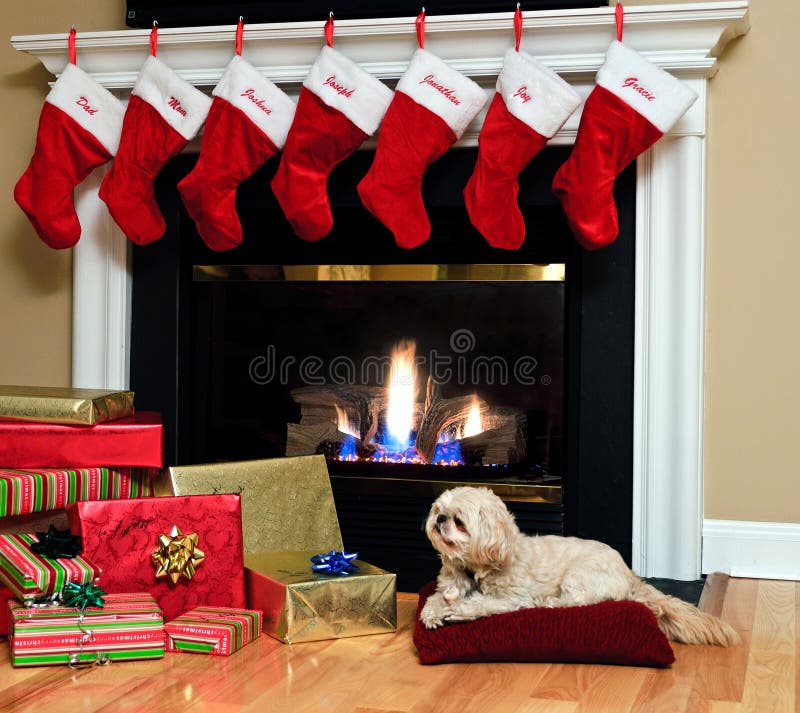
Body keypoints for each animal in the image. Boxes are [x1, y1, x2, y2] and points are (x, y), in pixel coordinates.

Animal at [422, 484, 740, 644]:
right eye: (439, 511)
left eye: (459, 521)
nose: (439, 519)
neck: (477, 567)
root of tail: (629, 574)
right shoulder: (448, 584)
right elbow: (434, 598)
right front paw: (433, 613)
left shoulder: (511, 598)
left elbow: (480, 603)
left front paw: (458, 610)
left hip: (579, 575)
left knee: (577, 602)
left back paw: (550, 604)